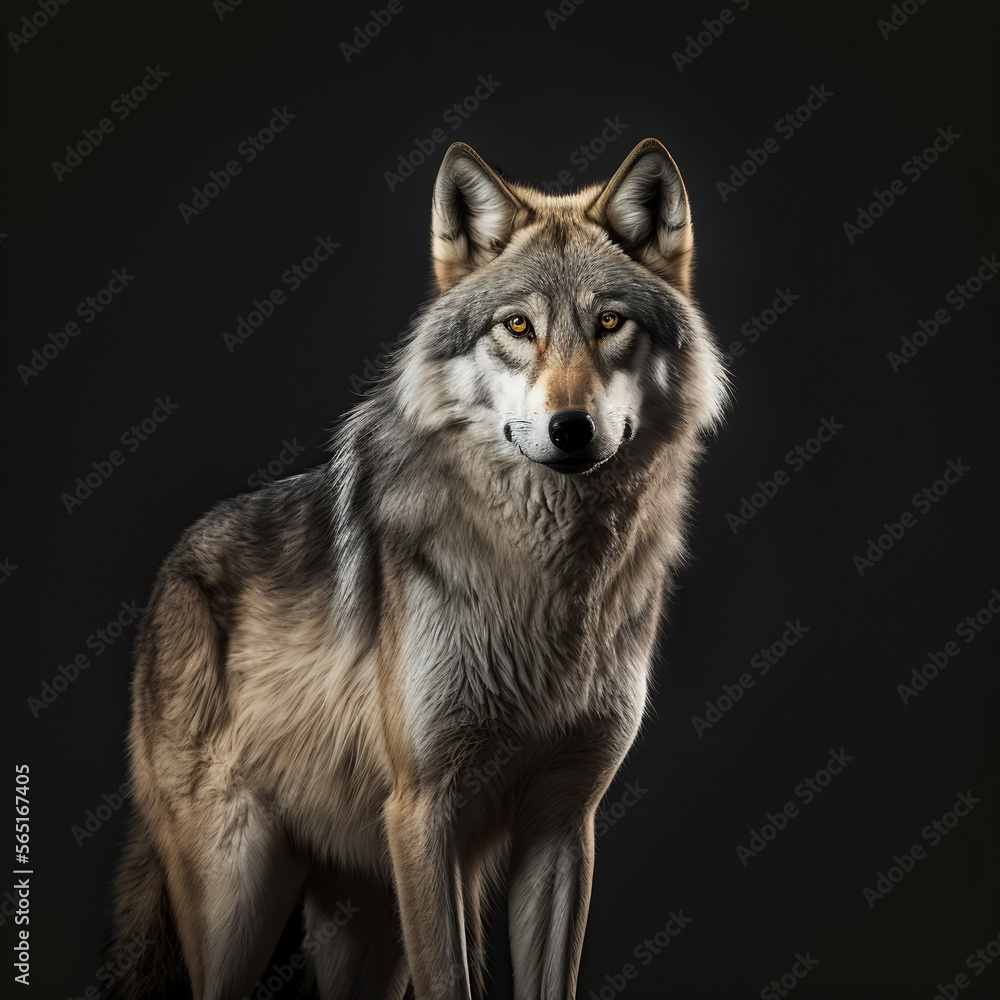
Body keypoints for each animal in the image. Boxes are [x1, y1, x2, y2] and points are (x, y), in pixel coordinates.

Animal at [104, 137, 727, 1000]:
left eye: (609, 322)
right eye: (517, 325)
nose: (571, 428)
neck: (548, 579)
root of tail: (172, 566)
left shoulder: (562, 824)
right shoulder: (426, 812)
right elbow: (451, 981)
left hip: (366, 931)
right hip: (240, 899)